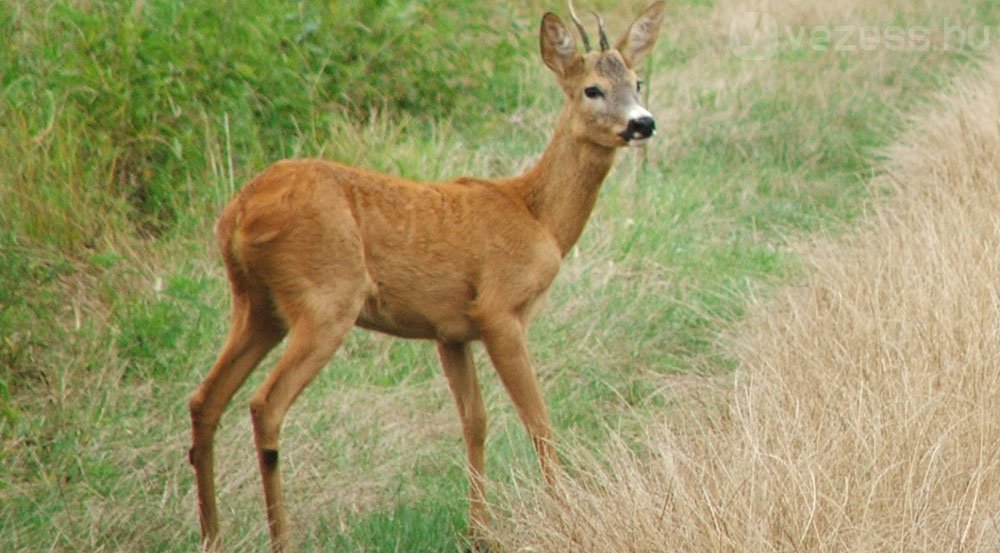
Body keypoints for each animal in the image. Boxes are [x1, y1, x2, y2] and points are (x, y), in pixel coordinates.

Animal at [189, 2, 664, 548]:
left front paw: (479, 532)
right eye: (592, 89)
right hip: (325, 297)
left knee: (205, 400)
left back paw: (211, 535)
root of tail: (237, 214)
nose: (643, 122)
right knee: (264, 405)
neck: (538, 216)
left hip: (257, 304)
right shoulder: (499, 310)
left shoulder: (450, 331)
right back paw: (281, 539)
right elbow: (538, 419)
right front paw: (566, 516)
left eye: (637, 81)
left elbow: (474, 421)